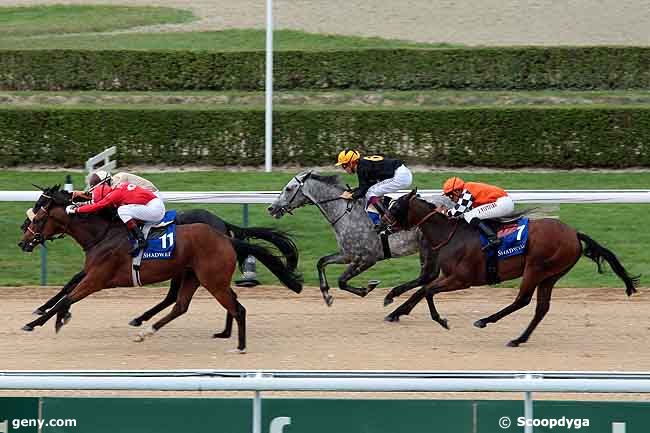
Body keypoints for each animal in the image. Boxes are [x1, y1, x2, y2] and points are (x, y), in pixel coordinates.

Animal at [19, 185, 302, 352]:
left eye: (40, 215)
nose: (23, 240)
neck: (103, 234)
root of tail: (225, 235)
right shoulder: (91, 274)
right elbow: (67, 293)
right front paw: (53, 316)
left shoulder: (97, 279)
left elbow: (67, 296)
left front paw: (38, 322)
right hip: (195, 276)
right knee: (185, 304)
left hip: (209, 278)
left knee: (228, 305)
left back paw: (238, 344)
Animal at [264, 169, 450, 310]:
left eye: (289, 188)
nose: (271, 208)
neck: (345, 213)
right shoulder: (347, 255)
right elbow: (321, 262)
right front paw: (326, 295)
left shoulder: (368, 258)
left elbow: (341, 280)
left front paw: (367, 287)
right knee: (429, 275)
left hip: (427, 246)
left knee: (427, 275)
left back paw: (392, 295)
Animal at [382, 191, 636, 346]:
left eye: (395, 208)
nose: (381, 226)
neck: (450, 235)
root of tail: (574, 233)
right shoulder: (447, 275)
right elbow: (423, 289)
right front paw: (395, 309)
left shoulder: (461, 279)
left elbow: (428, 291)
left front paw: (441, 320)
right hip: (551, 275)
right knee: (541, 308)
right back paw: (518, 339)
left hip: (536, 268)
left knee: (522, 300)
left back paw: (485, 320)